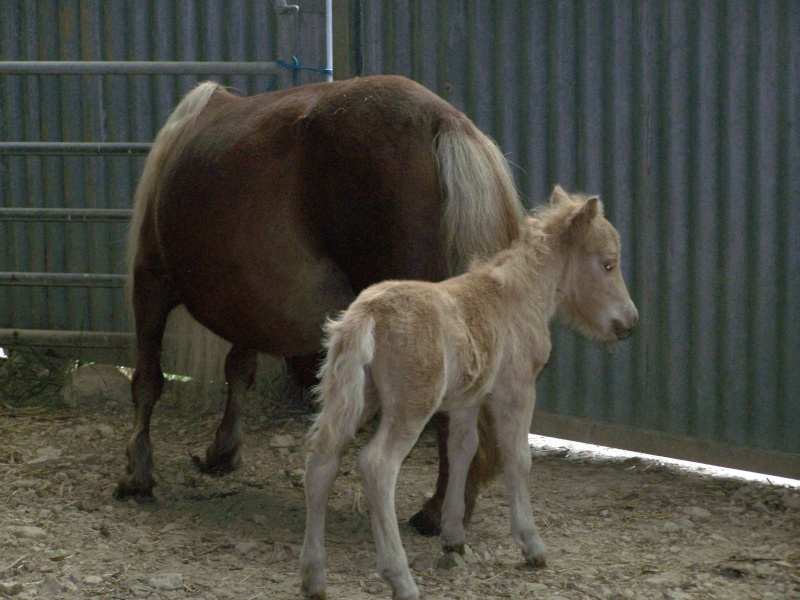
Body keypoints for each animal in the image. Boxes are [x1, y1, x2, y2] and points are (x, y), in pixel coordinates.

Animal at [114, 74, 524, 536]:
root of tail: (443, 119)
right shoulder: (246, 305)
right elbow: (238, 370)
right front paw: (222, 450)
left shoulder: (151, 281)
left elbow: (147, 381)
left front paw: (137, 472)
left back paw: (438, 511)